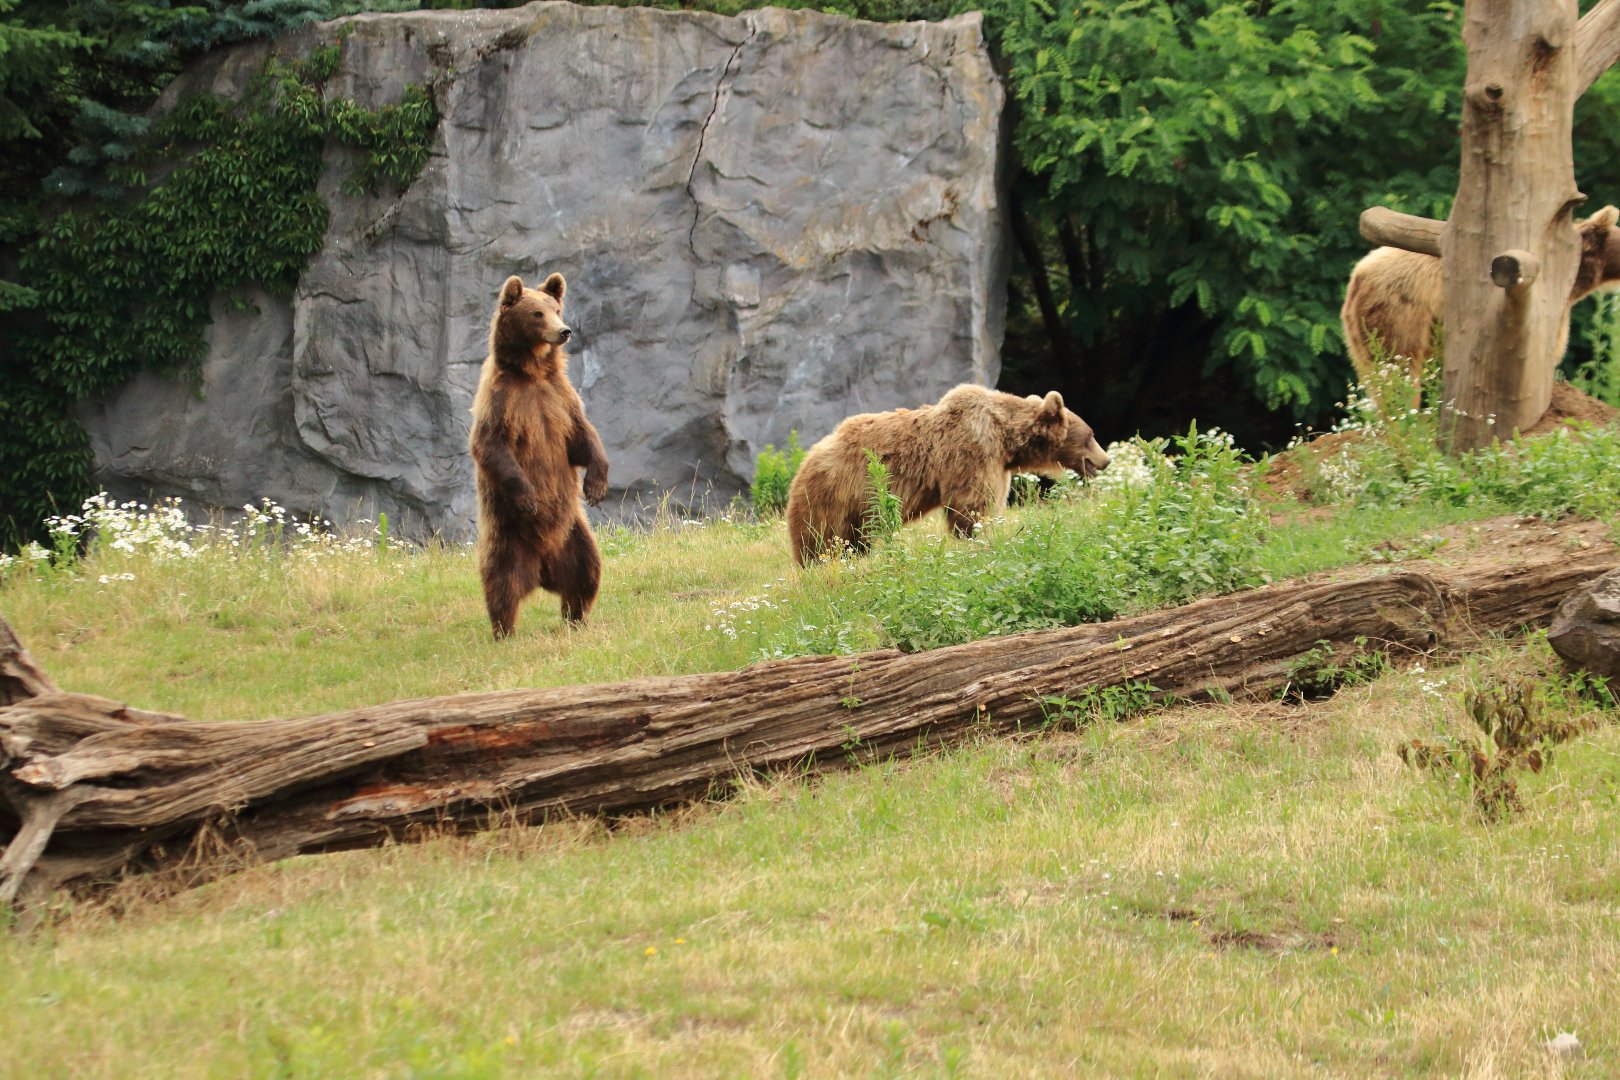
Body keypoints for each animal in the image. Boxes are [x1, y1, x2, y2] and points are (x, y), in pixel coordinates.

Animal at [469, 273, 609, 637]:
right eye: (536, 313)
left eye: (557, 309)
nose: (564, 331)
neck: (531, 373)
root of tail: (543, 570)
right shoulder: (502, 401)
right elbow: (492, 447)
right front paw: (530, 498)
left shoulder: (560, 398)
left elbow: (583, 437)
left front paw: (596, 486)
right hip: (507, 535)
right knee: (500, 582)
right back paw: (504, 631)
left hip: (574, 534)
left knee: (587, 571)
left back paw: (577, 619)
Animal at [785, 384, 1111, 566]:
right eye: (1091, 435)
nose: (1105, 460)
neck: (1006, 437)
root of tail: (804, 462)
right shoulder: (972, 451)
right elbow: (971, 505)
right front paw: (978, 540)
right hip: (835, 494)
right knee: (822, 538)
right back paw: (815, 564)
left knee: (853, 541)